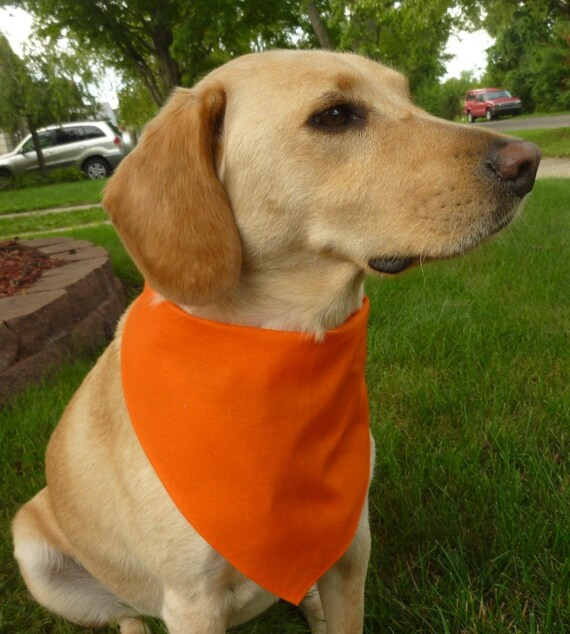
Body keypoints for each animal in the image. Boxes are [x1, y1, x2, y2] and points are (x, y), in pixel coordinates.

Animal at [12, 50, 536, 632]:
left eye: (408, 95)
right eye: (335, 115)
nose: (529, 162)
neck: (287, 344)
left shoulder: (352, 550)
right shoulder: (190, 601)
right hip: (35, 552)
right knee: (125, 613)